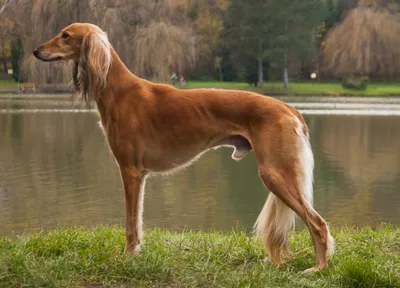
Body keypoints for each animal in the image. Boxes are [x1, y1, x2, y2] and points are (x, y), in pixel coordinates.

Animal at [33, 23, 334, 272]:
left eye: (65, 35)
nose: (36, 51)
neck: (118, 90)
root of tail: (290, 108)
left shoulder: (130, 171)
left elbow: (131, 223)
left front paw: (127, 258)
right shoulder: (139, 175)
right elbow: (137, 221)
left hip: (275, 174)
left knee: (318, 224)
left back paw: (319, 268)